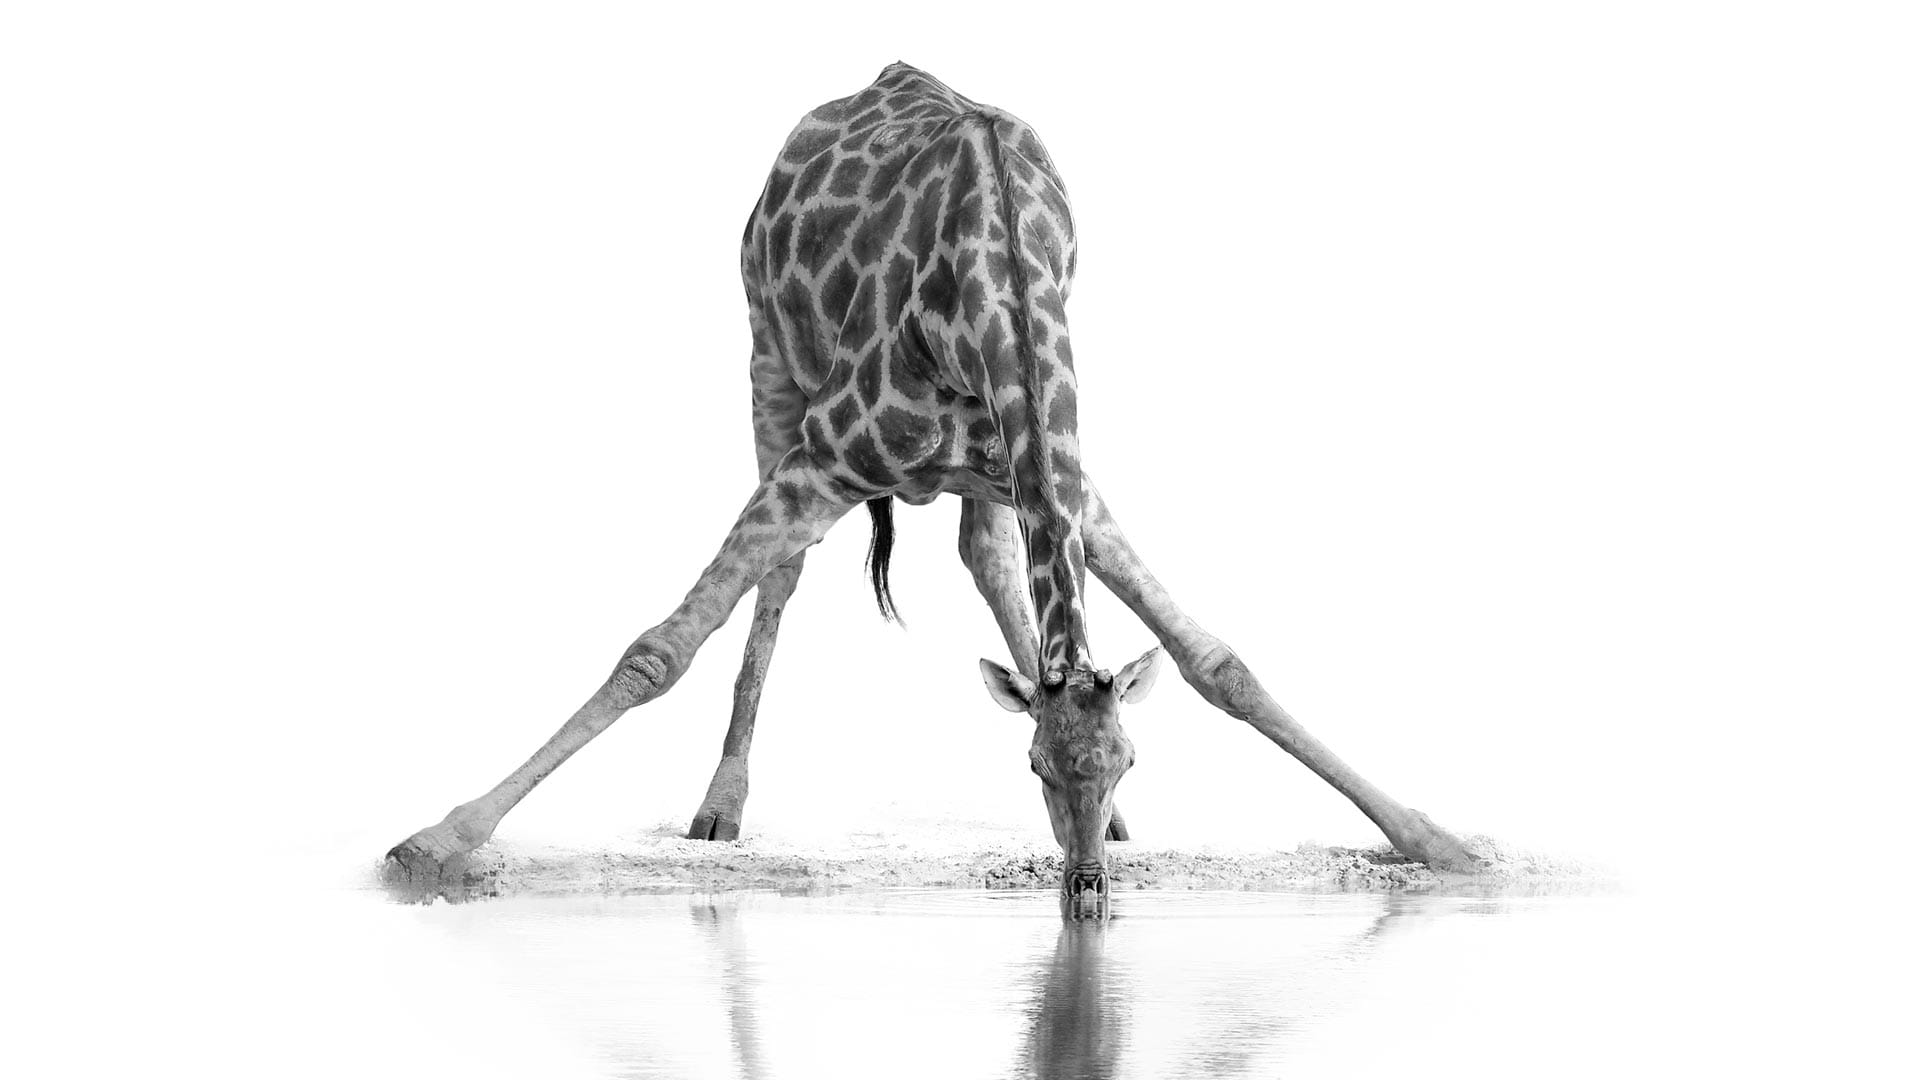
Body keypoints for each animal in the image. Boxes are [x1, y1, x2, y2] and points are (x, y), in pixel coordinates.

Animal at [385, 62, 1485, 915]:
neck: (988, 286)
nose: (1086, 896)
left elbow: (1220, 664)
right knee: (782, 582)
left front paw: (1442, 843)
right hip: (768, 364)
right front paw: (435, 843)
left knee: (984, 557)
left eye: (1128, 759)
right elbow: (659, 650)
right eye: (1032, 771)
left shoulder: (1059, 473)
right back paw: (720, 810)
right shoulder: (824, 457)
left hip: (978, 474)